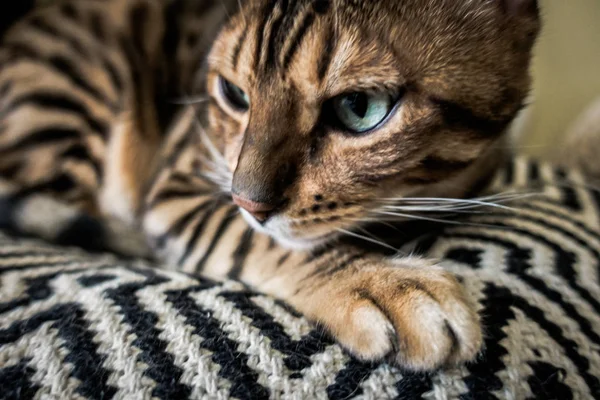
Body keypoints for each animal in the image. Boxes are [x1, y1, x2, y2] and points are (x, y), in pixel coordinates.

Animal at [0, 0, 540, 372]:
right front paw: (377, 282)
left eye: (360, 107)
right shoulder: (180, 187)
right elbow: (258, 240)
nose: (246, 200)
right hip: (74, 94)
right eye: (234, 94)